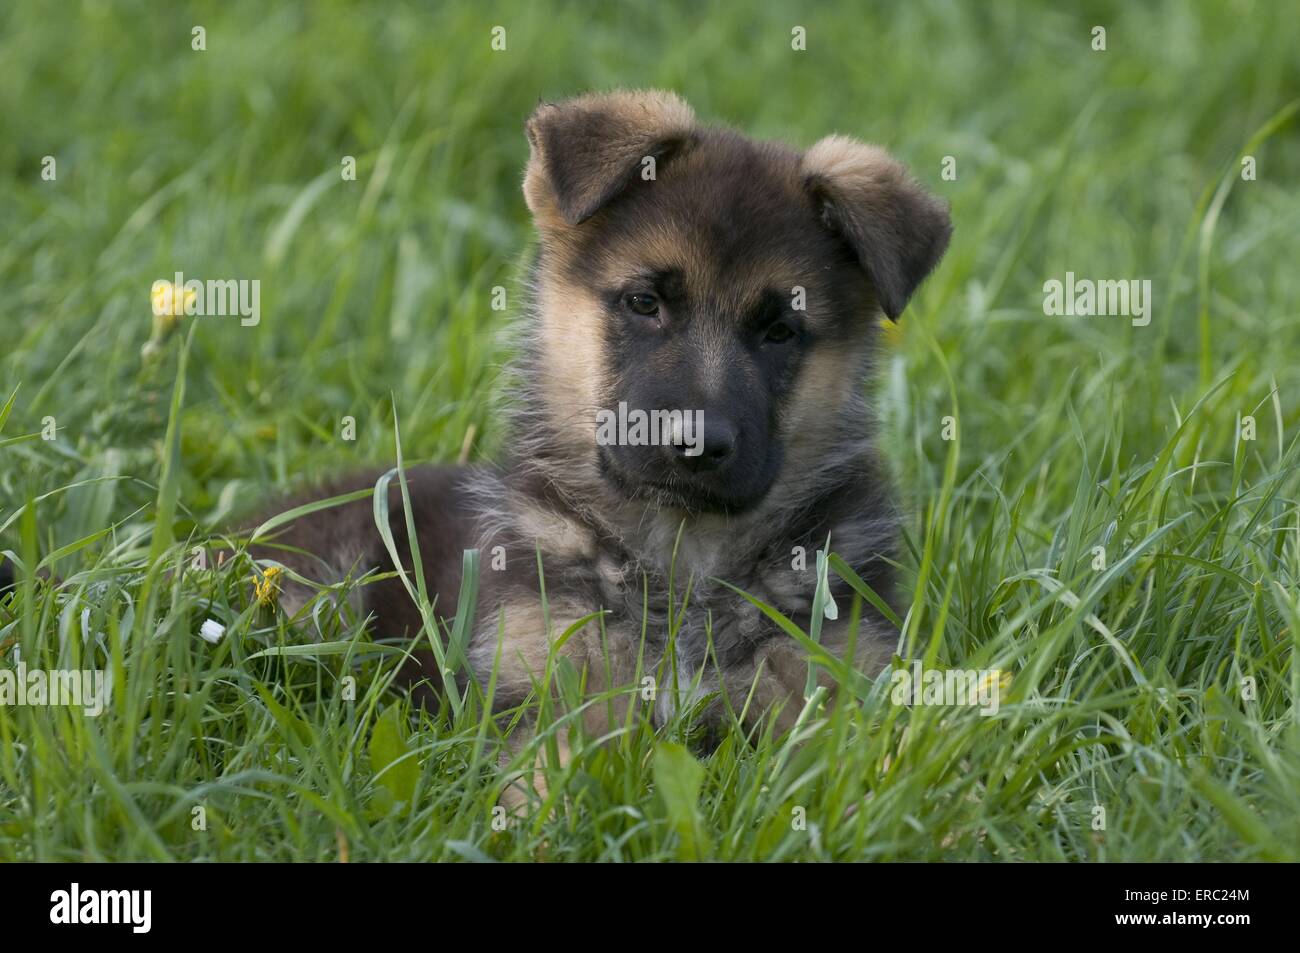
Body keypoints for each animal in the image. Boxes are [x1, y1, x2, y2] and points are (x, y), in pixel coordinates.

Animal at [248, 94, 951, 748]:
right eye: (644, 303)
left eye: (780, 332)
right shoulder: (547, 688)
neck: (681, 558)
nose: (696, 443)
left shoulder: (838, 684)